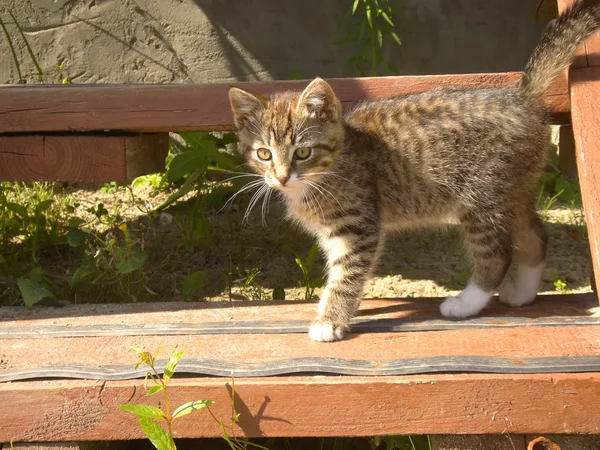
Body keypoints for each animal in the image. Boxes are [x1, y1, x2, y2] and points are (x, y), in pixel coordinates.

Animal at [227, 0, 600, 342]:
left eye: (302, 152)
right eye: (263, 154)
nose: (281, 176)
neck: (334, 166)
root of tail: (520, 95)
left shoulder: (358, 227)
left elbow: (347, 276)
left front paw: (330, 320)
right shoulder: (334, 233)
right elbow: (337, 272)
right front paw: (329, 310)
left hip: (482, 197)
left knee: (497, 252)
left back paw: (466, 303)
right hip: (512, 189)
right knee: (535, 234)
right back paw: (522, 293)